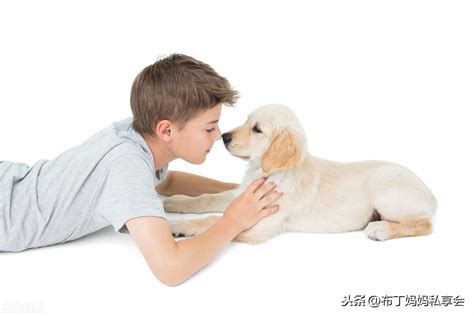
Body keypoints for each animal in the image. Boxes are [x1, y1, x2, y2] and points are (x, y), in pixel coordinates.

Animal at [166, 105, 436, 243]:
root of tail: (431, 194)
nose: (224, 137)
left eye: (257, 129)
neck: (270, 171)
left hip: (385, 186)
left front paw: (177, 226)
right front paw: (175, 202)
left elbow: (214, 221)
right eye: (246, 121)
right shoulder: (243, 195)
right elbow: (208, 199)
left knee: (424, 224)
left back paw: (381, 230)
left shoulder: (261, 224)